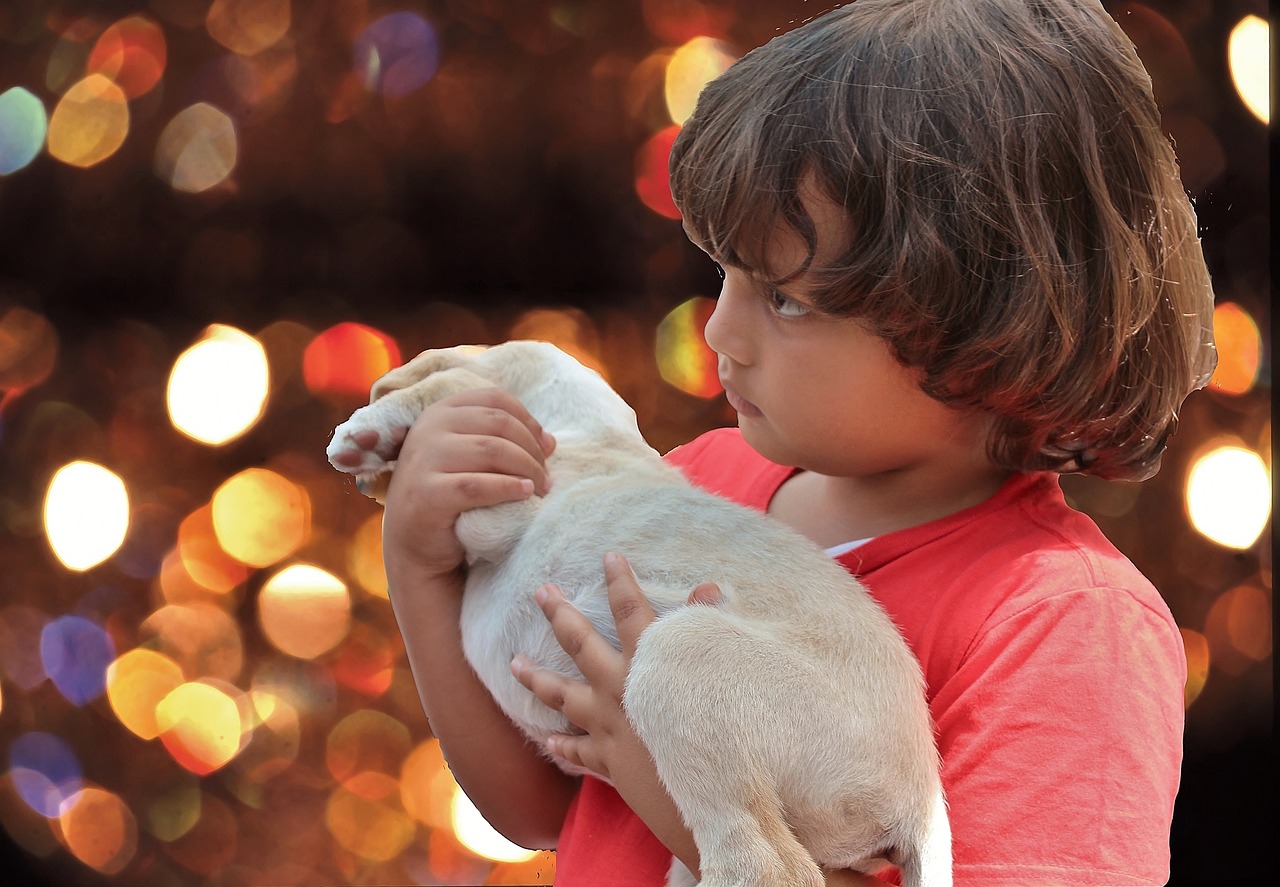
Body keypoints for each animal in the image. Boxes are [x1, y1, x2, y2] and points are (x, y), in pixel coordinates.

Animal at [327, 337, 952, 885]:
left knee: (771, 869)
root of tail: (921, 804)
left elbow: (448, 389)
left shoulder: (509, 505)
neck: (592, 432)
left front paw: (370, 430)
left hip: (681, 652)